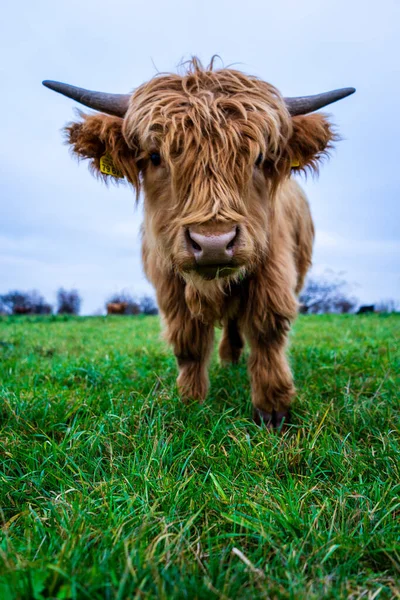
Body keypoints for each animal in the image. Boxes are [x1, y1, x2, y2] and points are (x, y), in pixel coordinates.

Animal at [43, 57, 356, 426]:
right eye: (155, 156)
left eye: (259, 158)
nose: (214, 243)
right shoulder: (168, 282)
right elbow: (188, 342)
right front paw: (190, 402)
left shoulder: (274, 271)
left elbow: (267, 332)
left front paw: (273, 409)